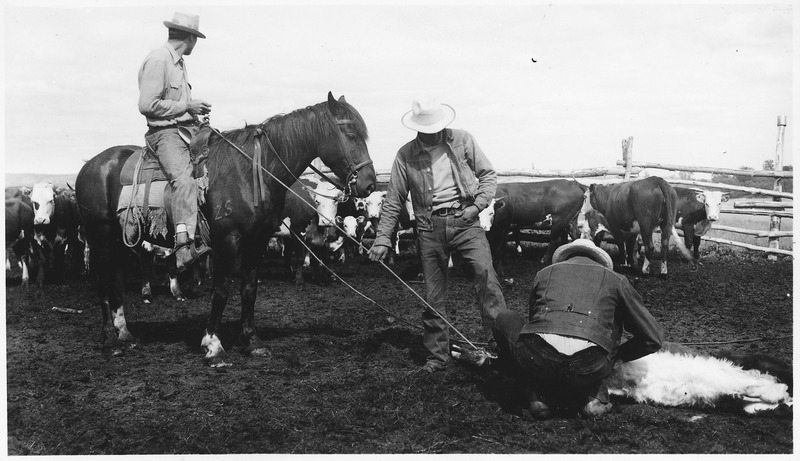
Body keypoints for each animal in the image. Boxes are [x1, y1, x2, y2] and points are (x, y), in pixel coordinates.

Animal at [75, 91, 376, 362]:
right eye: (350, 133)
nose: (369, 184)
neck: (251, 171)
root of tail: (89, 167)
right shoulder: (227, 240)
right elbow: (221, 290)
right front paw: (212, 344)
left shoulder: (257, 240)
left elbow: (249, 289)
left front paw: (252, 341)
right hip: (100, 235)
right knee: (103, 281)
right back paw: (110, 339)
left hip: (117, 238)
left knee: (114, 280)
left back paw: (125, 333)